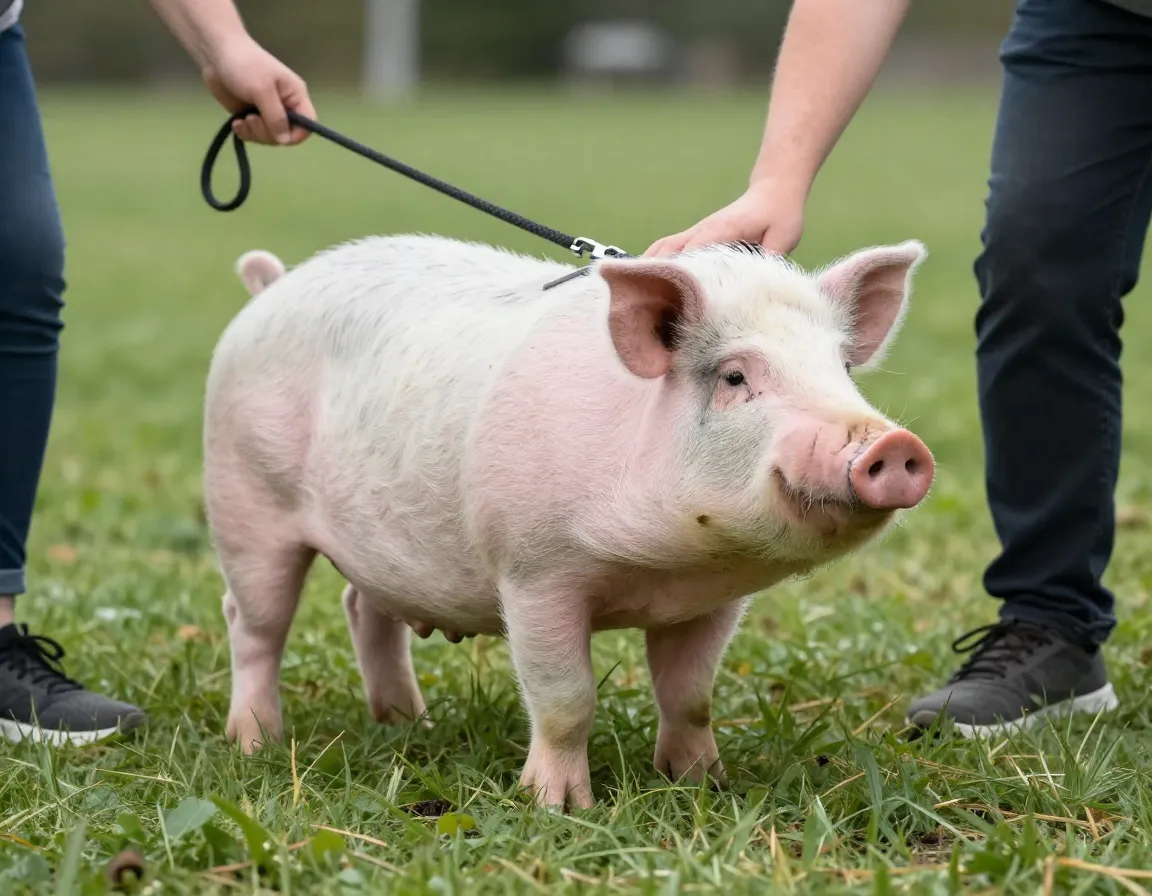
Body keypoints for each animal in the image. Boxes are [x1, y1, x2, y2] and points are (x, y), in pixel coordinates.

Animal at [202, 233, 934, 810]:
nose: (895, 446)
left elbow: (690, 694)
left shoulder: (715, 600)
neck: (665, 569)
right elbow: (565, 696)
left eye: (841, 368)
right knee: (253, 623)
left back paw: (411, 727)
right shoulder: (534, 570)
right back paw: (257, 744)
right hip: (245, 497)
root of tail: (272, 286)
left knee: (363, 608)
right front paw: (557, 806)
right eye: (734, 377)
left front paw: (704, 785)